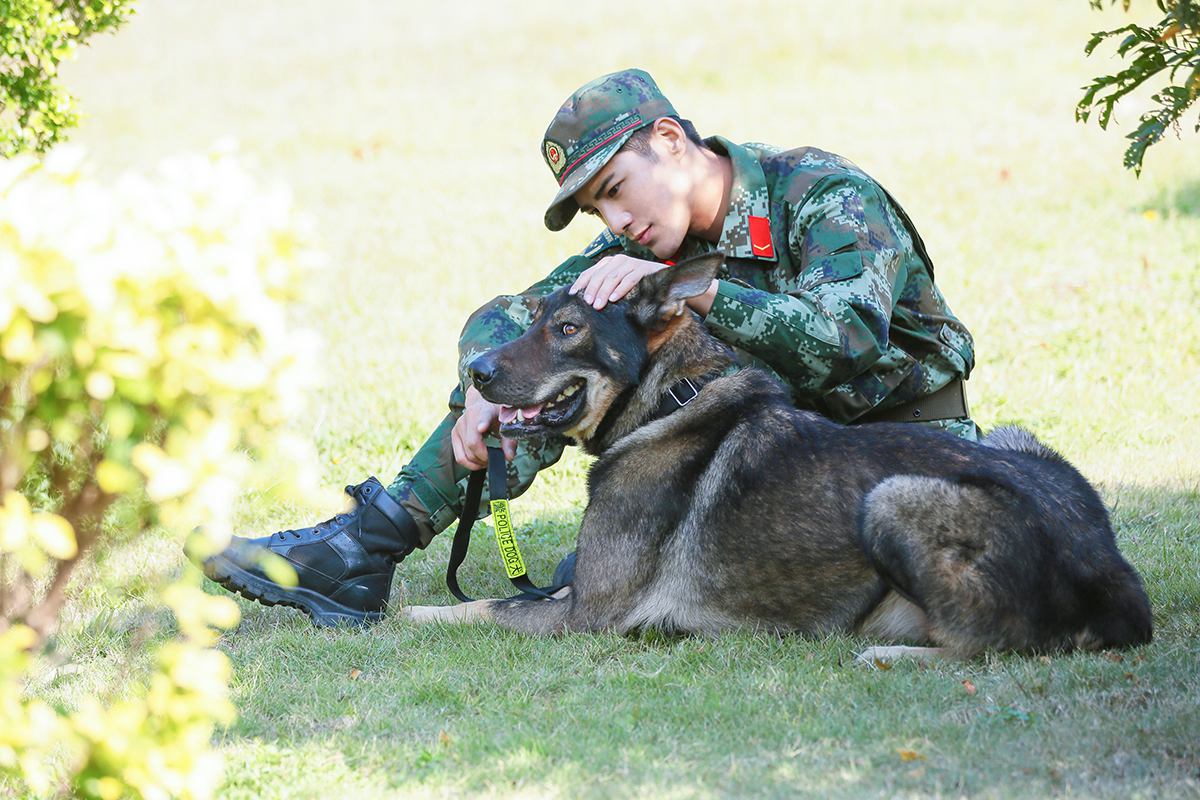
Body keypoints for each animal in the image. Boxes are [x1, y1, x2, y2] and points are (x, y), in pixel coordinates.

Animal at [405, 255, 1152, 657]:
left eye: (566, 329)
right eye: (533, 318)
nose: (477, 374)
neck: (669, 400)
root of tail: (1117, 580)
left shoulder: (588, 618)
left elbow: (483, 607)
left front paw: (407, 617)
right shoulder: (578, 595)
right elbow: (503, 598)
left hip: (895, 497)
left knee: (983, 644)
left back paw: (884, 651)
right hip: (1010, 437)